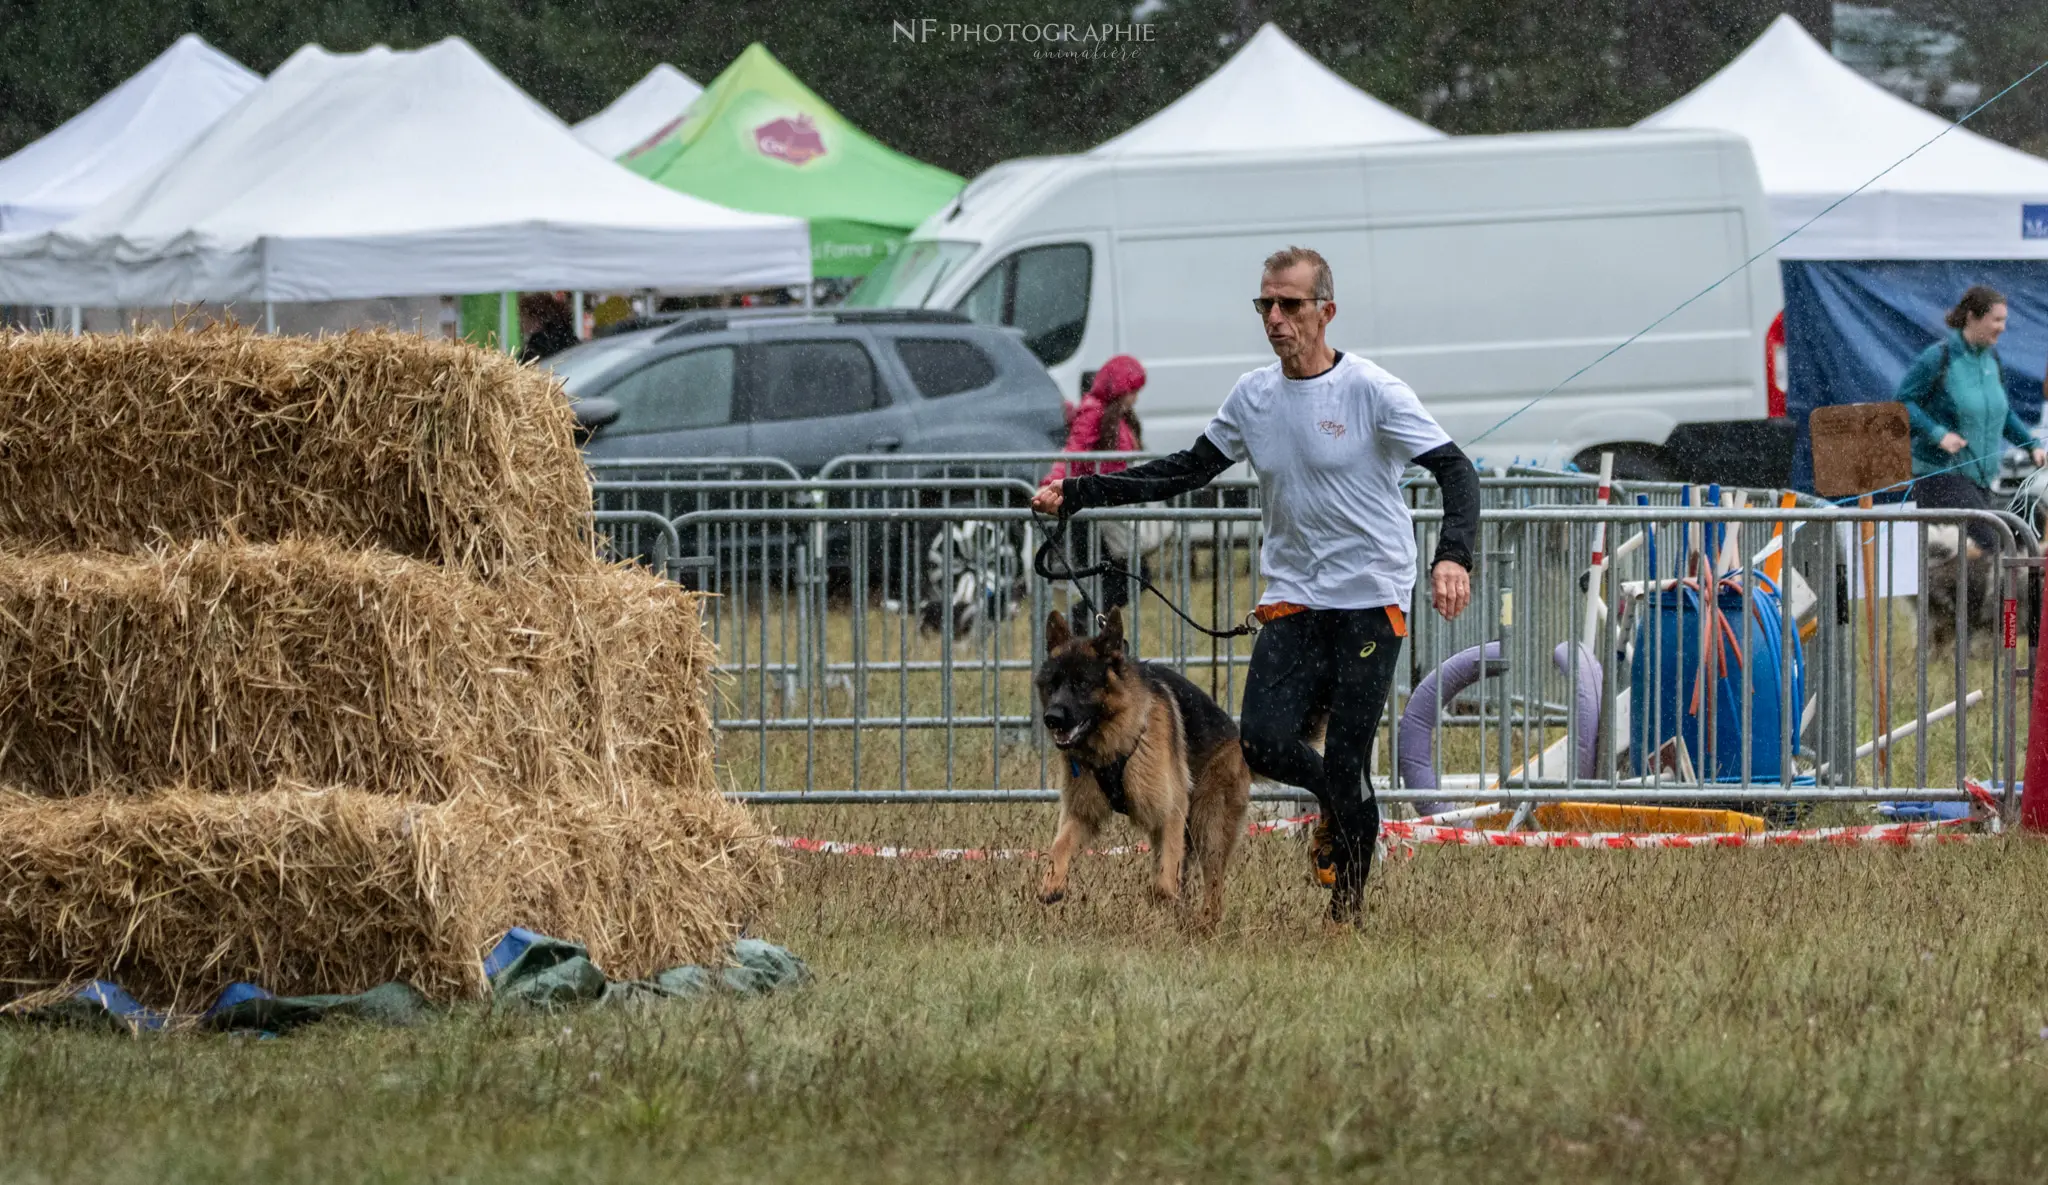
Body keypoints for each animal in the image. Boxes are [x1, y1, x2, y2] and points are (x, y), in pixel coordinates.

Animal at [1040, 605, 1245, 933]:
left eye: (1081, 684)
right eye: (1053, 684)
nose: (1052, 718)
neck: (1114, 739)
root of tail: (1237, 736)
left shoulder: (1171, 811)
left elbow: (1162, 884)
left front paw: (1163, 895)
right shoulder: (1082, 814)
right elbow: (1059, 847)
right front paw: (1052, 882)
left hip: (1209, 822)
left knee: (1213, 887)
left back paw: (1203, 925)